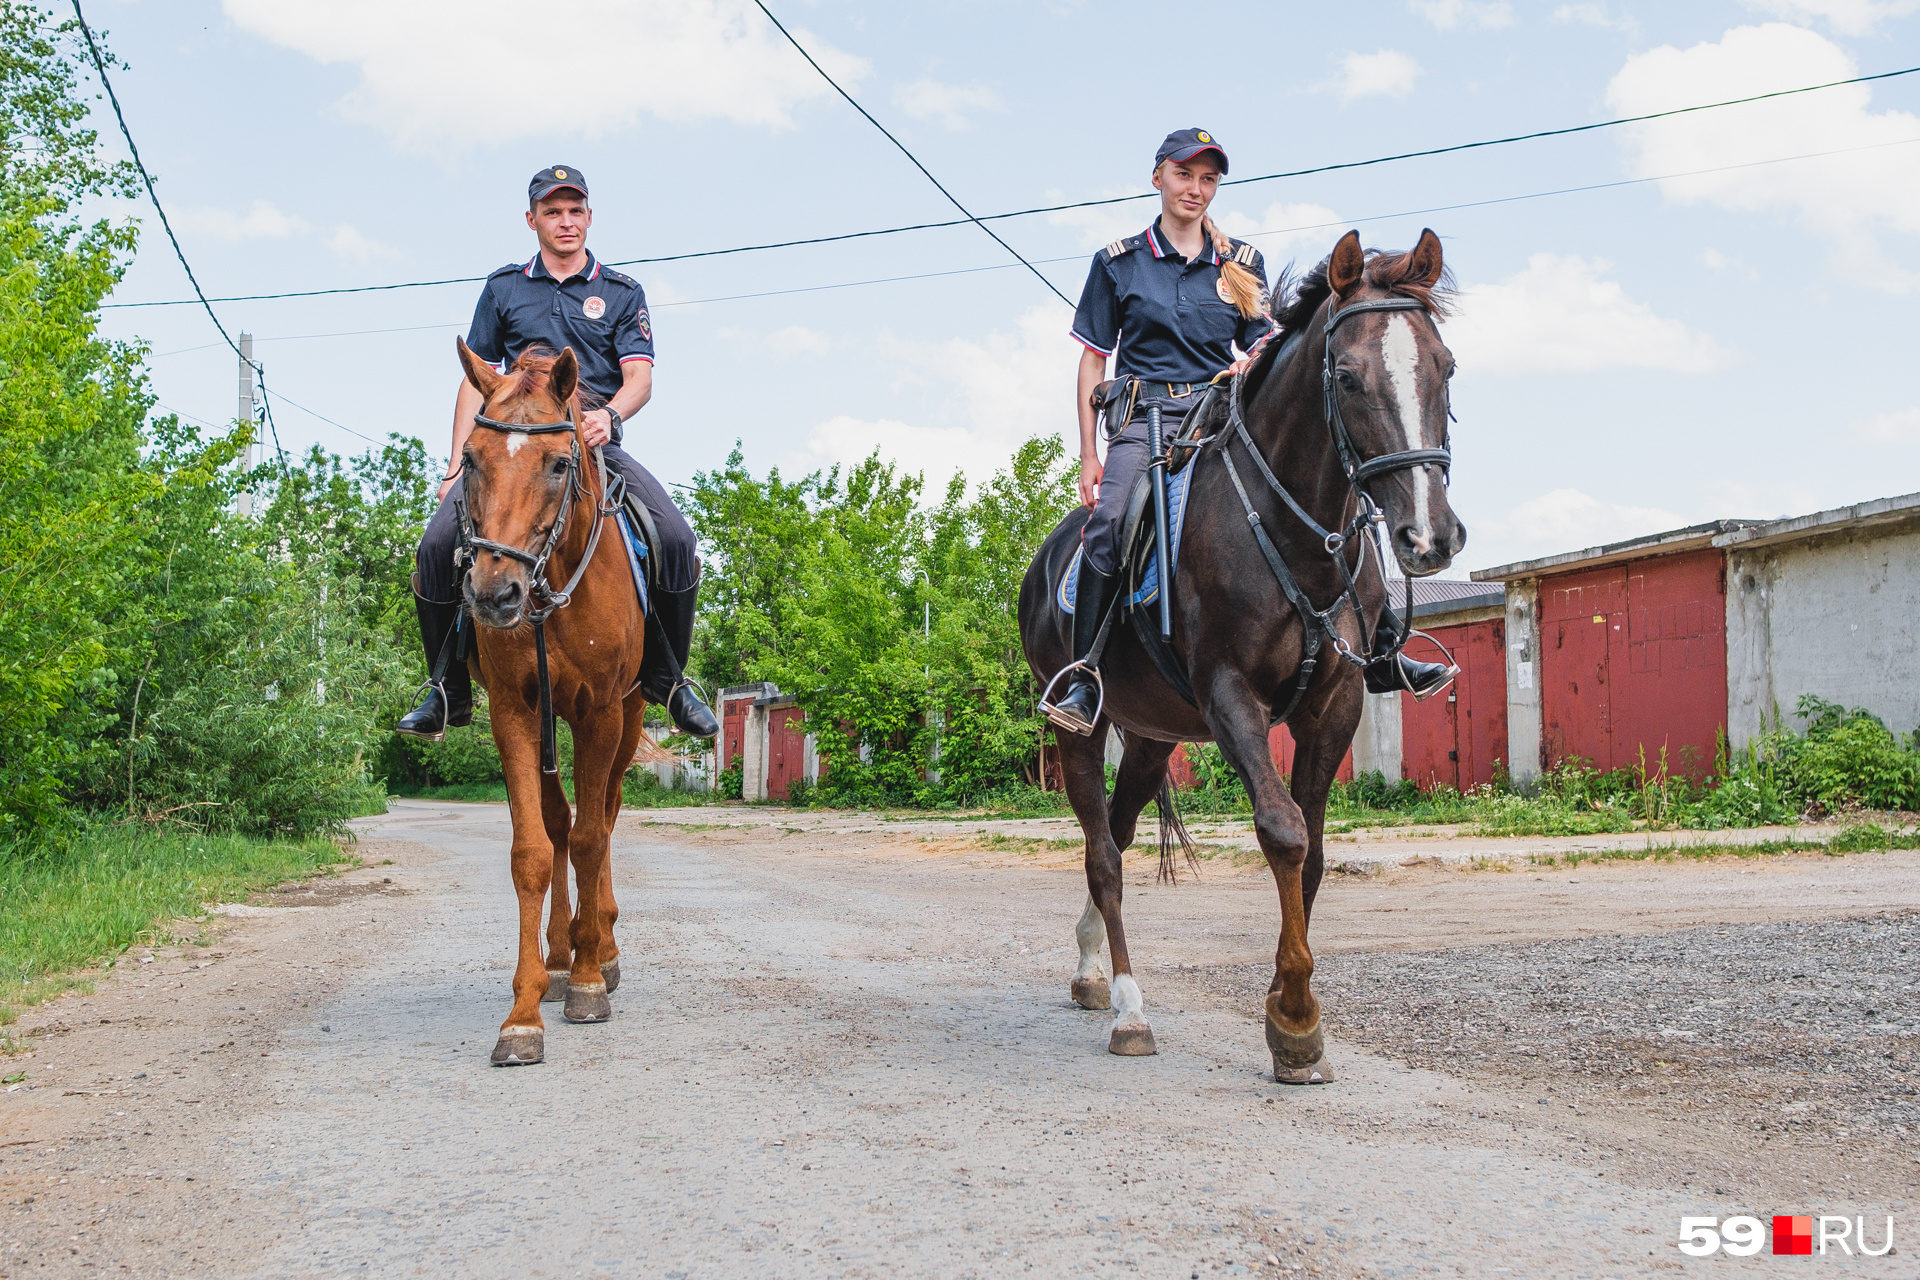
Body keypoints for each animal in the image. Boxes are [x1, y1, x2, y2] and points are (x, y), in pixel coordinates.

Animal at [451, 339, 668, 1074]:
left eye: (558, 462)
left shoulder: (602, 712)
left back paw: (599, 946)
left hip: (627, 720)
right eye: (471, 460)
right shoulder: (513, 713)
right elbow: (535, 850)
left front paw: (590, 982)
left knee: (604, 816)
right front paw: (522, 1016)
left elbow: (594, 837)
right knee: (561, 822)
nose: (495, 595)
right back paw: (559, 951)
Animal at [1013, 227, 1459, 1082]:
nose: (1428, 536)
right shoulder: (1230, 697)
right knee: (1103, 855)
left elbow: (1312, 852)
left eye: (1444, 366)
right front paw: (1296, 1021)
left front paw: (1288, 1009)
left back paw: (1091, 971)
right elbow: (1282, 832)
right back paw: (1128, 1008)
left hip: (1151, 736)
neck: (1293, 535)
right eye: (1346, 377)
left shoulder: (1336, 705)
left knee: (1117, 833)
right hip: (1078, 727)